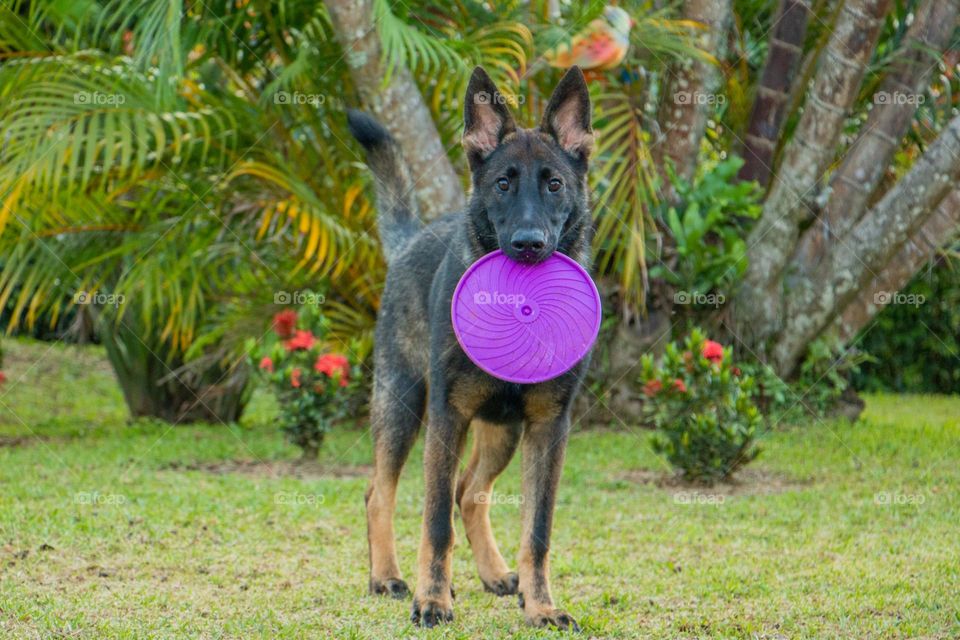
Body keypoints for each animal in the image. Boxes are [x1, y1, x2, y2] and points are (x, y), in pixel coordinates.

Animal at [346, 66, 592, 632]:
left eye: (554, 184)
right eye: (503, 184)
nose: (528, 244)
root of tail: (411, 240)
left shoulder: (549, 427)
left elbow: (537, 532)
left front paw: (541, 604)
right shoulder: (447, 416)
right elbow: (436, 522)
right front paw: (432, 600)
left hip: (502, 432)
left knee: (469, 492)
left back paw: (498, 575)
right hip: (401, 406)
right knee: (380, 493)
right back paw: (387, 576)